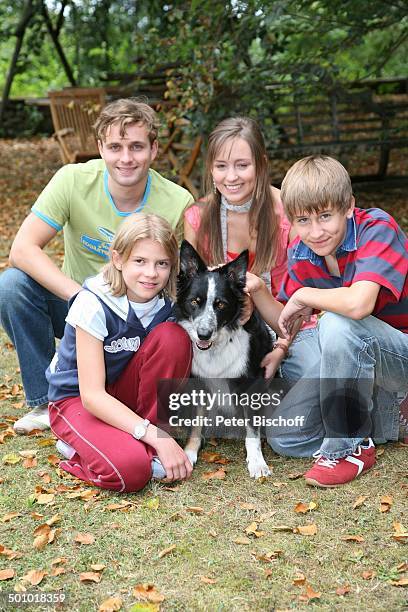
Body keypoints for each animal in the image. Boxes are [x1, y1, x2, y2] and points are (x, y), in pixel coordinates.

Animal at [174, 241, 272, 480]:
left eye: (220, 305)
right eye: (194, 302)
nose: (203, 335)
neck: (217, 347)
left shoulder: (251, 386)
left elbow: (252, 431)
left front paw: (257, 462)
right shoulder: (197, 385)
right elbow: (196, 424)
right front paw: (189, 452)